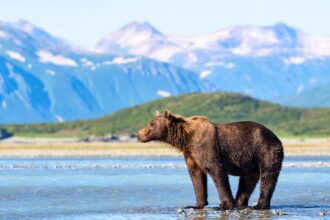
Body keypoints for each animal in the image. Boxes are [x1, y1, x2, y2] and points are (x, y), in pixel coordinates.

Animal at [137, 110, 284, 210]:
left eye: (151, 124)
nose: (138, 134)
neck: (187, 139)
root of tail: (276, 137)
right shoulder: (191, 154)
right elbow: (196, 177)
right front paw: (196, 204)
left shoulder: (206, 147)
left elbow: (216, 171)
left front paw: (224, 205)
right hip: (251, 161)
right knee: (248, 181)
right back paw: (240, 203)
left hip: (265, 150)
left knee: (267, 176)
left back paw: (259, 205)